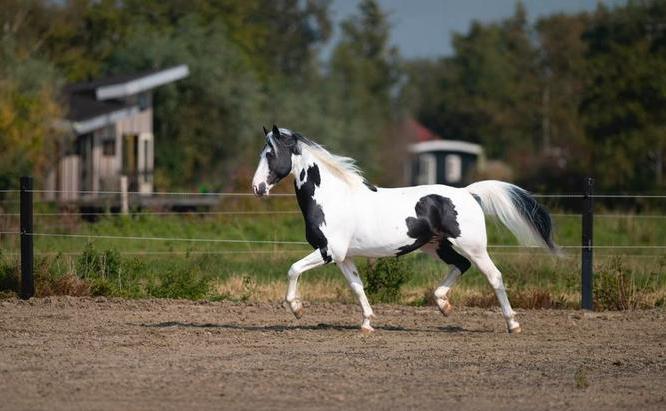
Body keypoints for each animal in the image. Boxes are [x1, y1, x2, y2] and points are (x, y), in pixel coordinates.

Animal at [252, 125, 558, 333]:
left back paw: (513, 324)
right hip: (437, 245)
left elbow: (293, 269)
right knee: (461, 266)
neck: (333, 197)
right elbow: (357, 287)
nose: (257, 188)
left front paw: (297, 309)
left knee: (494, 276)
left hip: (473, 246)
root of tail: (468, 193)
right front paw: (367, 324)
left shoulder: (329, 251)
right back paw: (443, 305)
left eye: (270, 153)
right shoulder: (344, 257)